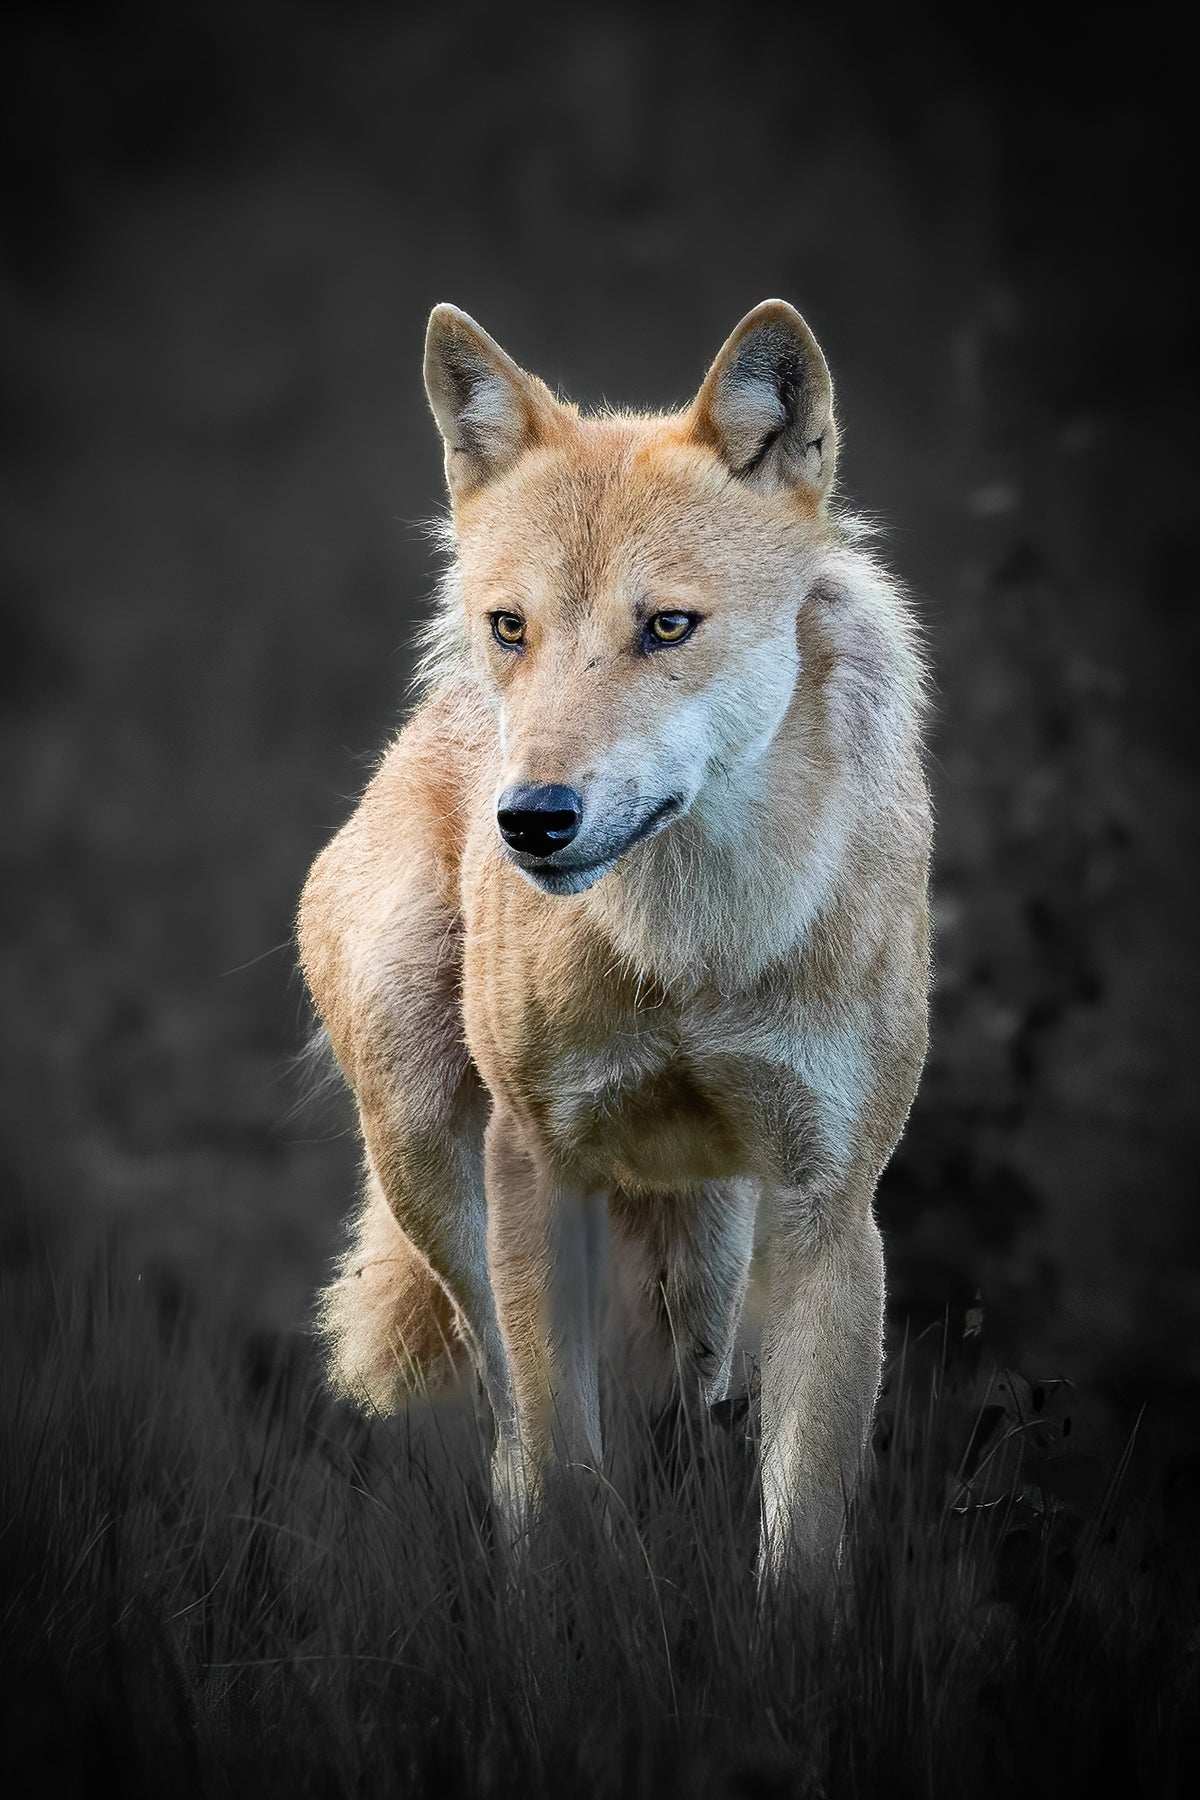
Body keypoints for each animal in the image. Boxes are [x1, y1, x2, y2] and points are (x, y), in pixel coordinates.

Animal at [298, 299, 931, 1588]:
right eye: (513, 628)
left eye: (667, 627)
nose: (532, 818)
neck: (693, 948)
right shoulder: (539, 1170)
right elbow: (562, 1463)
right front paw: (568, 1616)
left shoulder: (830, 1208)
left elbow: (800, 1526)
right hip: (438, 1161)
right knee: (508, 1427)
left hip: (712, 1257)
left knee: (691, 1410)